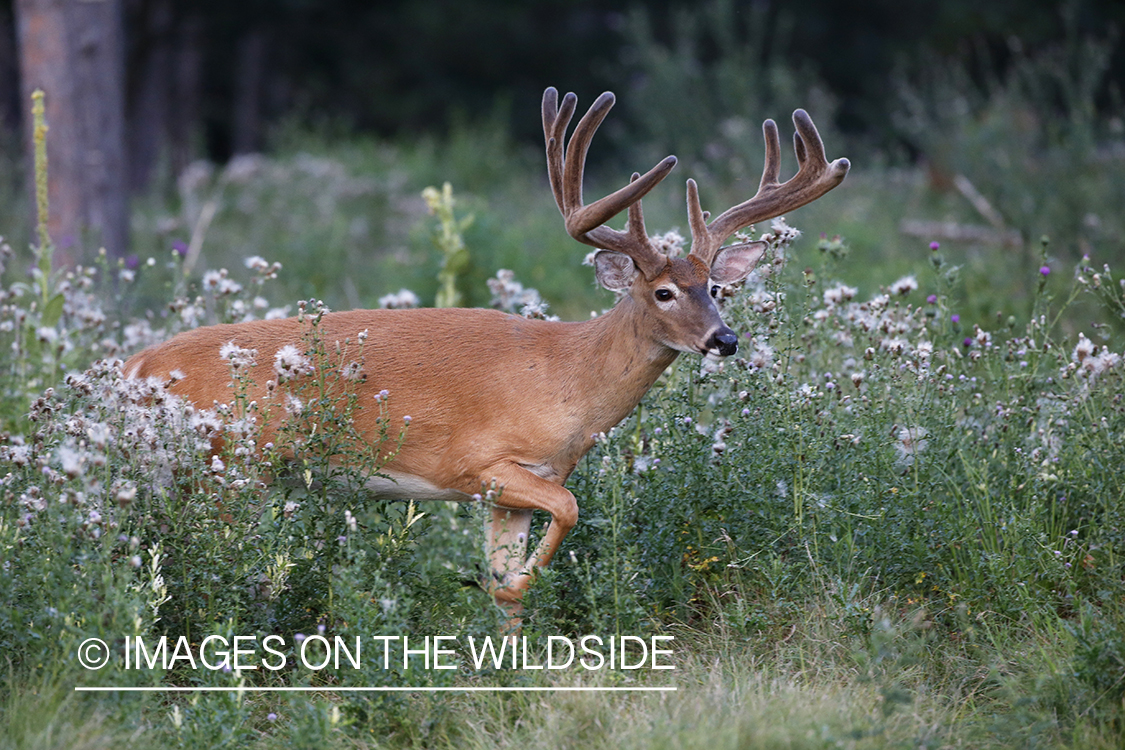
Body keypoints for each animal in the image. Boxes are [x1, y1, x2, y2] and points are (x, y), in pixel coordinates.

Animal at [123, 88, 846, 620]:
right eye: (664, 291)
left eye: (716, 288)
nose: (724, 339)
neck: (567, 378)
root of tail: (138, 369)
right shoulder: (478, 463)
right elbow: (569, 512)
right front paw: (508, 591)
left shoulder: (518, 490)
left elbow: (514, 570)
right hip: (229, 468)